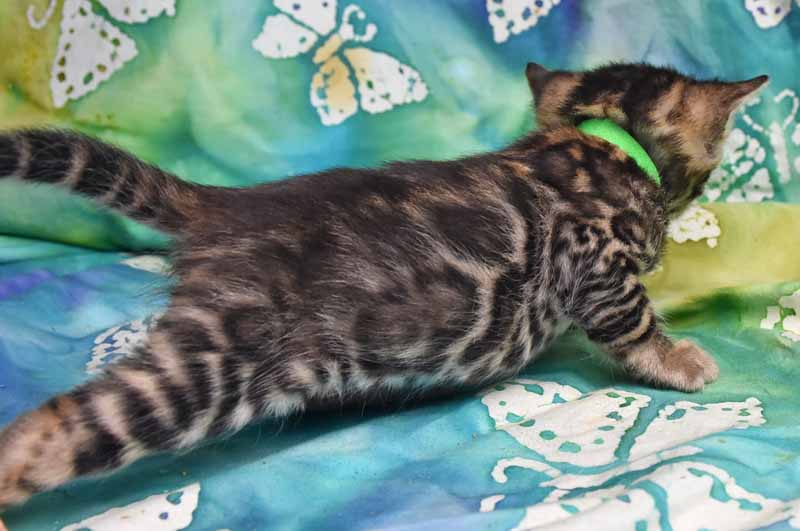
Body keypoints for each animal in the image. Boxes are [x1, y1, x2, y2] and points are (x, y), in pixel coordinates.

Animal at [0, 62, 767, 510]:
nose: (703, 190)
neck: (600, 138)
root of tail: (225, 209)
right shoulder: (597, 261)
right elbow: (632, 321)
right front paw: (680, 358)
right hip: (219, 359)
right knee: (60, 425)